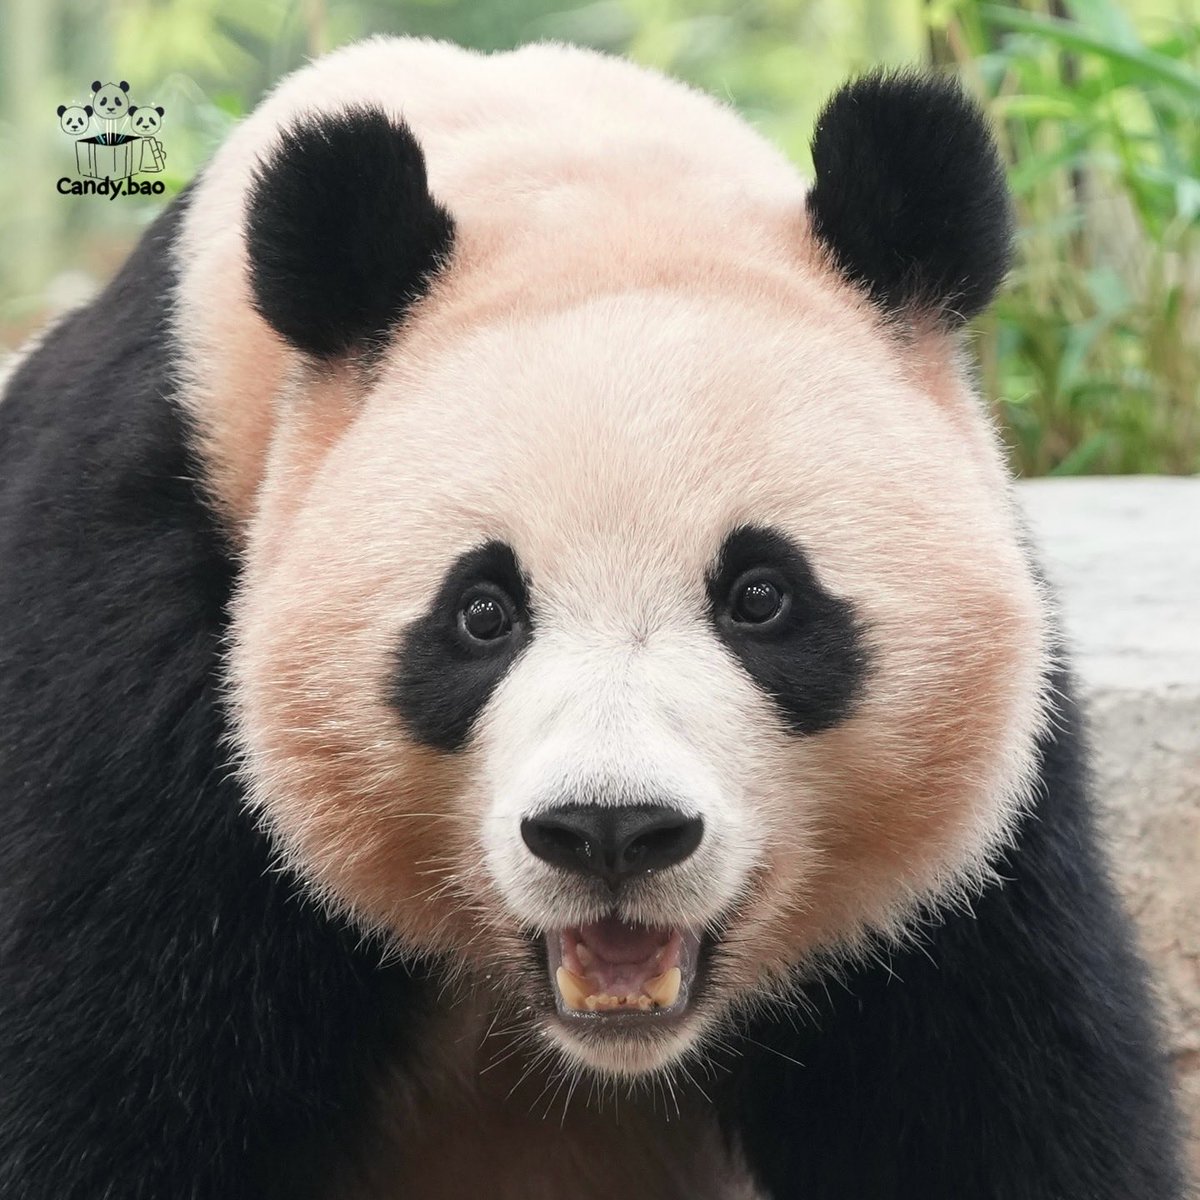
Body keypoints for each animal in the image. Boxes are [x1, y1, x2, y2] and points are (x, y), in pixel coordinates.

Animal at [0, 37, 1185, 1200]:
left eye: (762, 598)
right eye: (482, 613)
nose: (611, 831)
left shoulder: (984, 850)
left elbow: (992, 1096)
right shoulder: (137, 634)